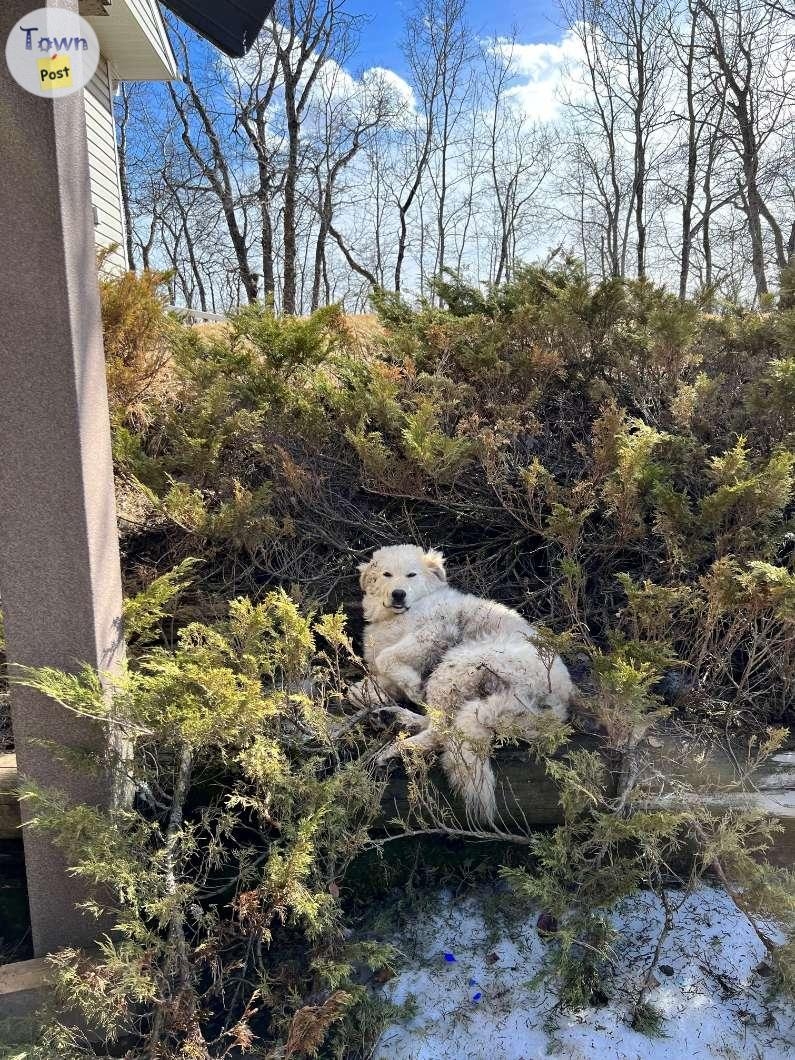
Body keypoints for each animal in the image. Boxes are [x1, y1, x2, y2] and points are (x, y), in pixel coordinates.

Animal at [351, 546, 576, 826]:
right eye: (386, 574)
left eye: (412, 574)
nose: (398, 594)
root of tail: (555, 700)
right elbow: (368, 685)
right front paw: (371, 693)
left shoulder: (433, 631)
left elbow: (387, 658)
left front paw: (411, 685)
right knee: (439, 723)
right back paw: (392, 718)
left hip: (456, 666)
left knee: (441, 732)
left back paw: (397, 748)